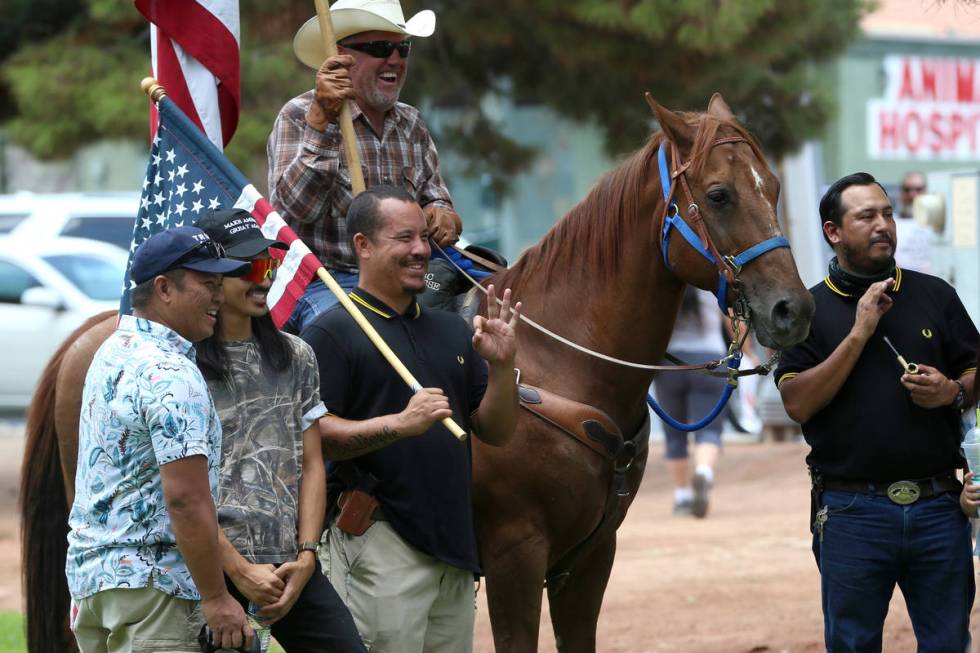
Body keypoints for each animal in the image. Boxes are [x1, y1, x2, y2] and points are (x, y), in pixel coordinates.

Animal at [21, 93, 812, 652]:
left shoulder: (590, 560)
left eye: (775, 184)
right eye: (718, 195)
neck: (560, 366)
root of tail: (96, 331)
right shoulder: (516, 556)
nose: (792, 310)